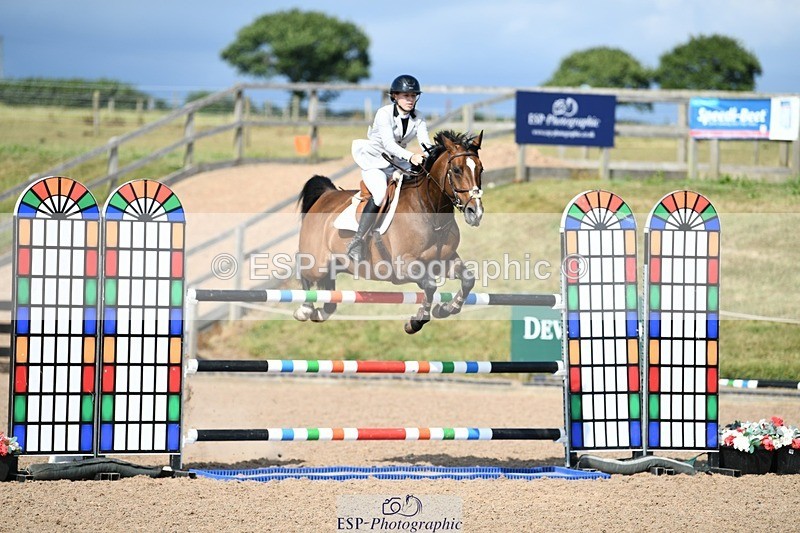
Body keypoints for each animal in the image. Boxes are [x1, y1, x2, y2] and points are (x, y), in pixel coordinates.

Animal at [295, 130, 484, 334]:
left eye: (481, 170)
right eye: (457, 170)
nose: (476, 213)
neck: (429, 212)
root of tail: (326, 194)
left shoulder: (444, 261)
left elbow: (467, 280)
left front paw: (446, 309)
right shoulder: (404, 265)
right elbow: (430, 286)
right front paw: (416, 322)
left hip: (336, 264)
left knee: (329, 289)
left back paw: (321, 312)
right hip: (317, 263)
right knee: (303, 267)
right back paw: (305, 309)